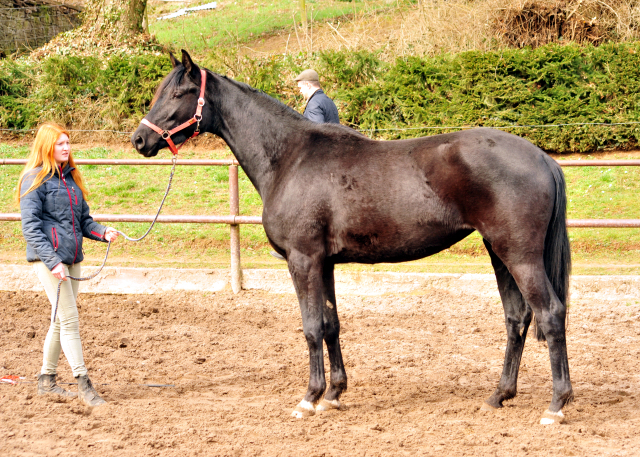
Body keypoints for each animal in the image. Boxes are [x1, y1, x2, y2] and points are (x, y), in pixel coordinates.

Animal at [132, 50, 572, 424]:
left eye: (179, 92)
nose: (140, 139)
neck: (290, 157)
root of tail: (542, 157)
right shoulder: (324, 263)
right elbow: (331, 324)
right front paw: (333, 395)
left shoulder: (303, 260)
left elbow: (311, 326)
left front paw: (309, 398)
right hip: (498, 253)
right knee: (517, 318)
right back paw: (499, 395)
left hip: (519, 255)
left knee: (551, 313)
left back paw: (556, 405)